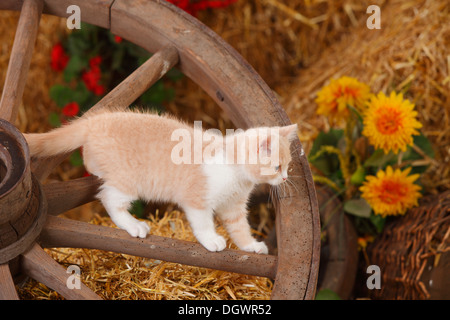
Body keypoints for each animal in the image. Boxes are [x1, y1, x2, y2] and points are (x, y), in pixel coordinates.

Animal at [25, 110, 298, 255]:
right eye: (277, 166)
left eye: (288, 165)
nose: (285, 178)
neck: (234, 171)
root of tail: (97, 120)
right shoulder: (195, 198)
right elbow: (203, 223)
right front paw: (211, 240)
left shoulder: (234, 206)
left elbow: (239, 227)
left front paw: (251, 246)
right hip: (129, 180)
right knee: (109, 197)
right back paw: (133, 225)